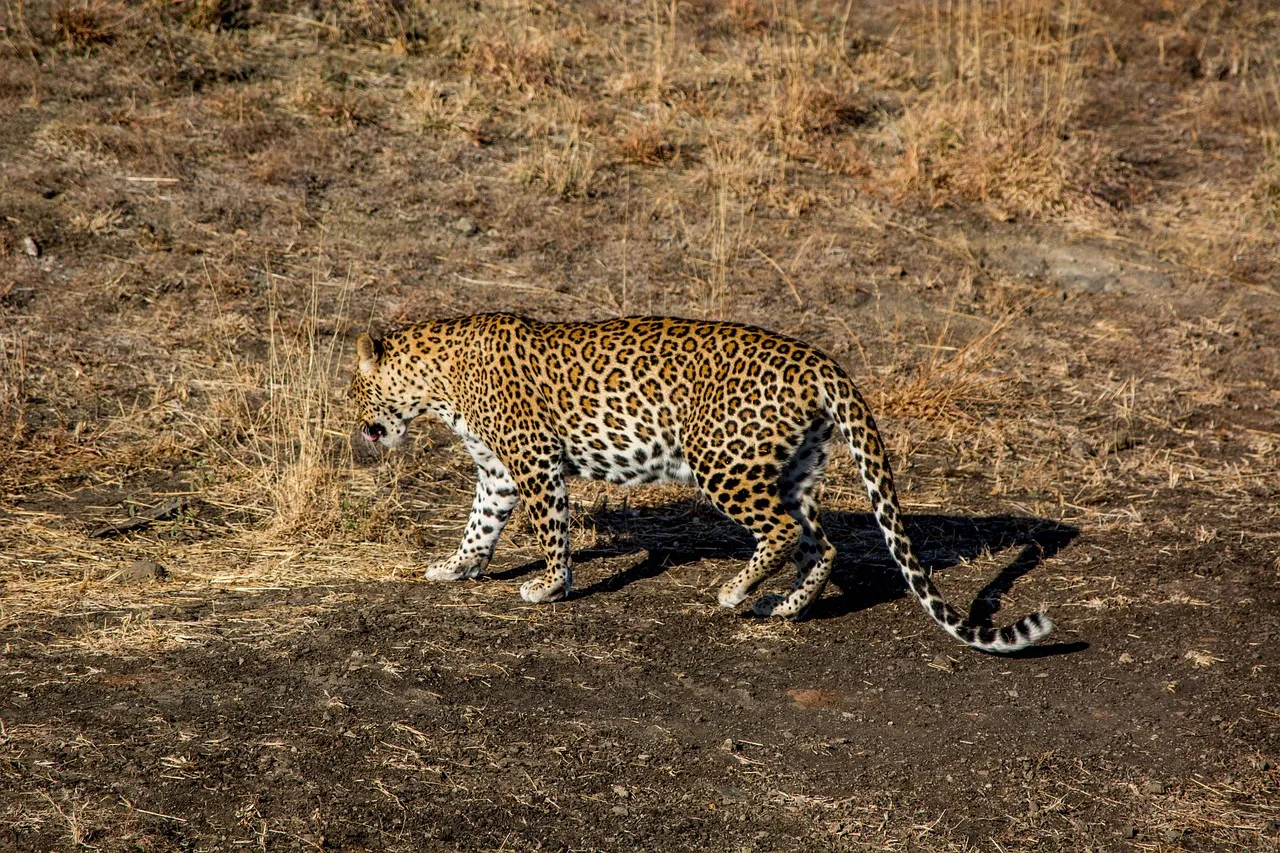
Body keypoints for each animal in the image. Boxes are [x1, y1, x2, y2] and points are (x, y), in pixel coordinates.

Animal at [350, 313, 1053, 653]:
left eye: (356, 390)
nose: (361, 430)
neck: (436, 384)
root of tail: (822, 361)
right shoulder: (497, 470)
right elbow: (480, 523)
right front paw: (454, 568)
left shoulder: (533, 460)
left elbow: (549, 529)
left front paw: (549, 586)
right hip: (793, 468)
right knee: (820, 542)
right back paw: (784, 608)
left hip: (722, 462)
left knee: (780, 533)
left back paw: (735, 590)